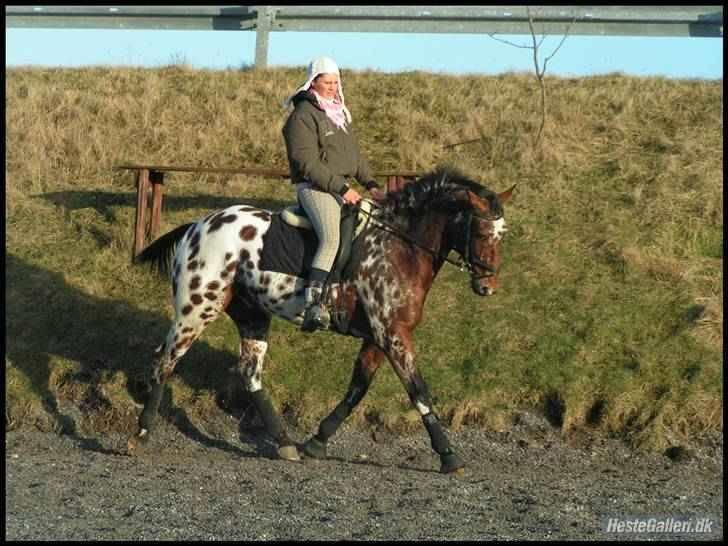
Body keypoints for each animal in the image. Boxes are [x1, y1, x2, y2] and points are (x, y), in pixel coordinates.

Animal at [128, 165, 516, 472]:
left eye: (502, 235)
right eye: (482, 232)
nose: (488, 286)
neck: (401, 247)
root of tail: (197, 226)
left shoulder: (378, 336)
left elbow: (357, 389)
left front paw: (318, 440)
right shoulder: (392, 334)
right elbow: (418, 389)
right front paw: (448, 455)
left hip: (251, 314)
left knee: (249, 373)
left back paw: (285, 443)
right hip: (197, 308)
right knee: (165, 361)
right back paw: (141, 434)